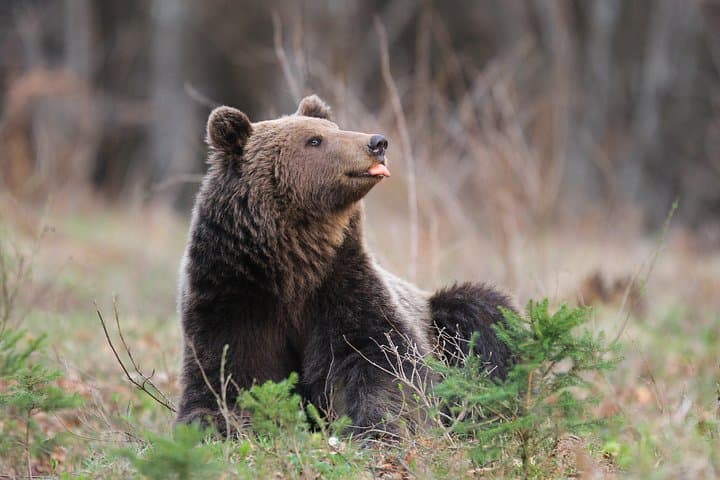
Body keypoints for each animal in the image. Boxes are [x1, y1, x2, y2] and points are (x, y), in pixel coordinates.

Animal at [176, 95, 514, 437]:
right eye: (315, 140)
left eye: (334, 128)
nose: (377, 142)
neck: (293, 267)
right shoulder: (232, 297)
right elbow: (227, 377)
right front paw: (220, 423)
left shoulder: (343, 285)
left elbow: (380, 361)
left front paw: (377, 427)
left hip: (441, 315)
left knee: (480, 316)